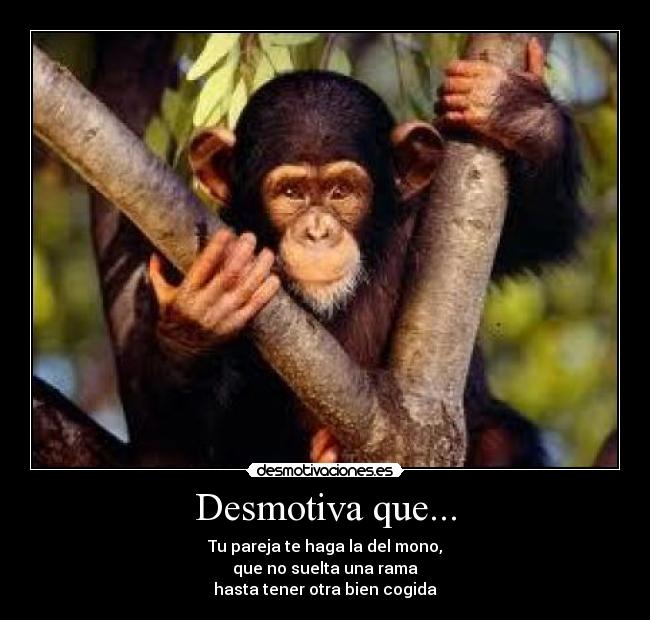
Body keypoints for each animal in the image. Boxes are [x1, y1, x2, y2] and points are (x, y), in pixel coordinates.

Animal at [138, 38, 585, 468]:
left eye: (341, 191)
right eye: (291, 193)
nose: (318, 231)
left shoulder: (428, 216)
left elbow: (542, 230)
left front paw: (517, 110)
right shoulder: (185, 245)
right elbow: (173, 437)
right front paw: (202, 314)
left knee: (501, 441)